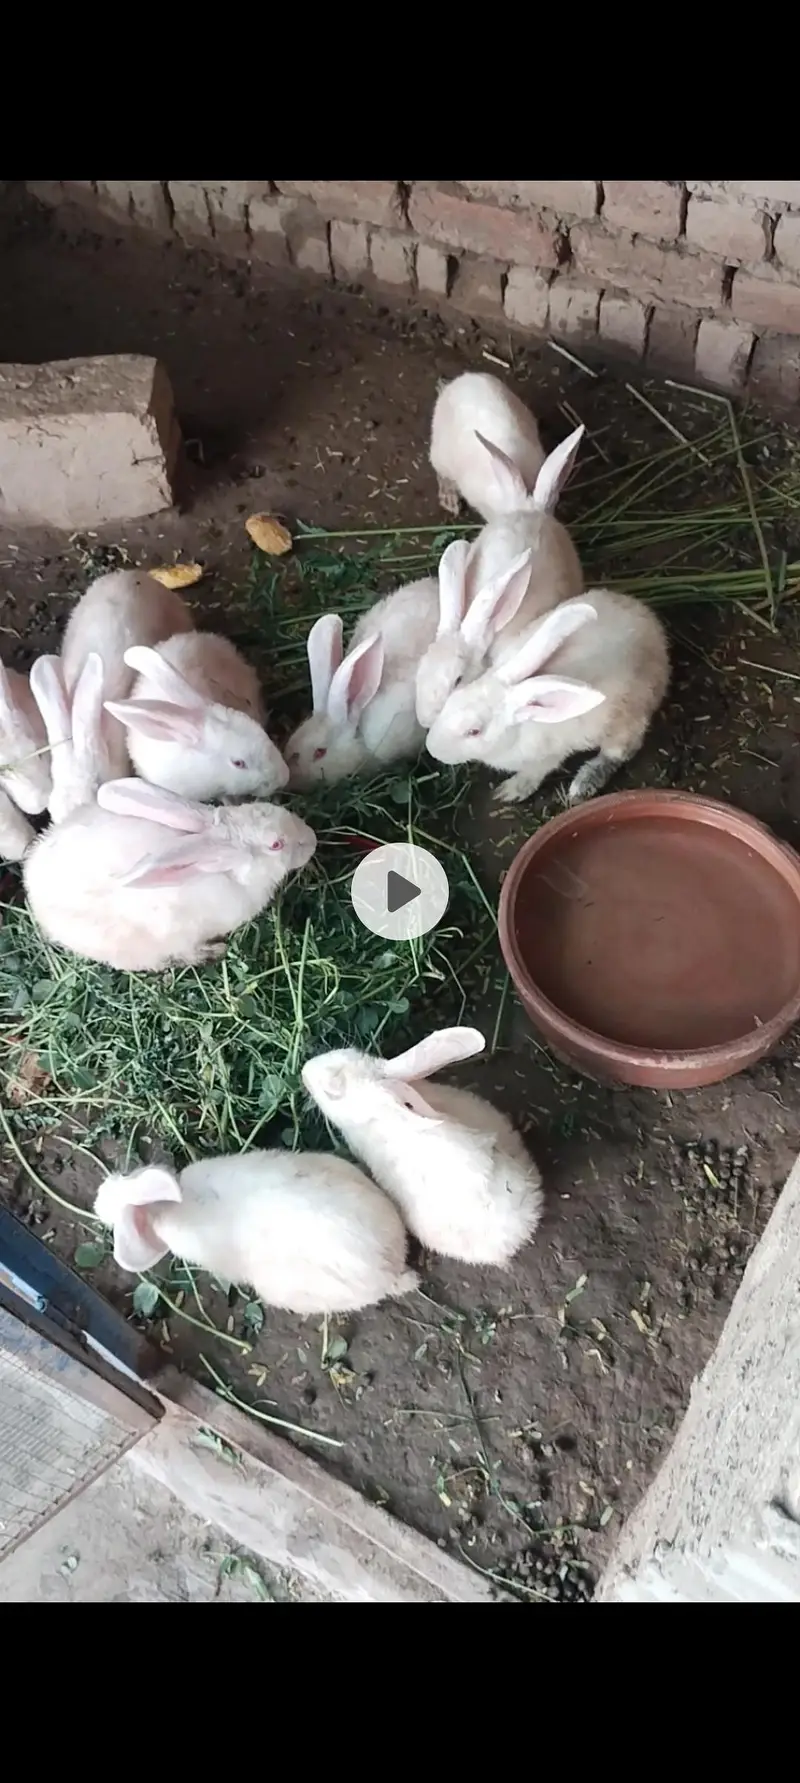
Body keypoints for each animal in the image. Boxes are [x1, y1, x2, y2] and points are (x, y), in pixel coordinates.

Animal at [424, 588, 670, 805]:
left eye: (474, 732)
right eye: (451, 700)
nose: (432, 749)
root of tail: (654, 628)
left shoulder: (549, 755)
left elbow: (535, 772)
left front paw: (509, 791)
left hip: (628, 717)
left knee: (620, 751)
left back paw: (582, 784)